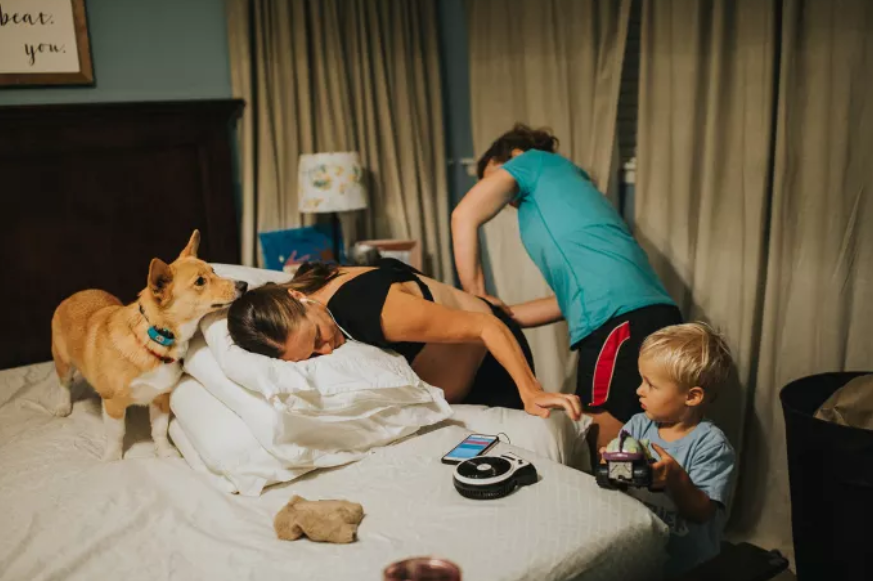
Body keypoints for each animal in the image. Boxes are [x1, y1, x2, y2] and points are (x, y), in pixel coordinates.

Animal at [50, 230, 247, 461]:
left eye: (214, 271)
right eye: (200, 281)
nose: (244, 285)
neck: (157, 338)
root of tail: (77, 293)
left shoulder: (161, 397)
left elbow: (159, 430)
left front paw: (164, 452)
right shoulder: (113, 403)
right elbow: (116, 434)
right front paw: (112, 459)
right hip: (63, 361)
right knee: (64, 384)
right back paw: (63, 406)